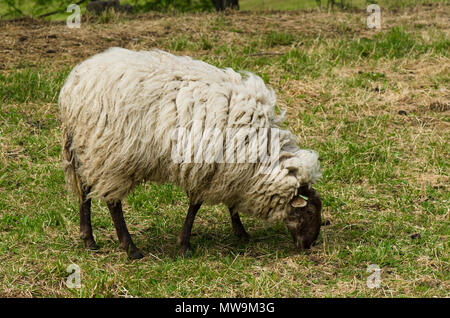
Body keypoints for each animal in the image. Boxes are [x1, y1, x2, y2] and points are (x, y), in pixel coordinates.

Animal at [59, 47, 324, 258]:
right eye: (310, 211)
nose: (309, 245)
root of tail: (72, 88)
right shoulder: (211, 168)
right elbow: (196, 205)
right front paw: (185, 245)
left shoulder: (230, 170)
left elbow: (229, 204)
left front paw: (241, 233)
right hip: (112, 156)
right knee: (113, 203)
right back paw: (131, 249)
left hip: (88, 150)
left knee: (85, 191)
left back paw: (89, 240)